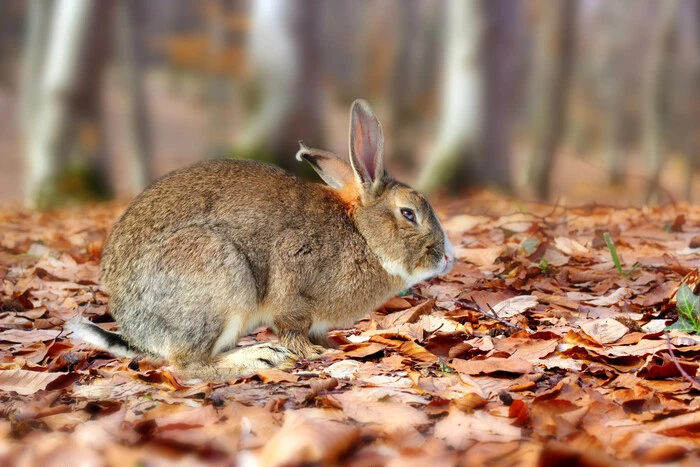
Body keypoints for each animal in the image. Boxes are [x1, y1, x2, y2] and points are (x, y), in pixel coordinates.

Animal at [71, 98, 454, 380]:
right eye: (408, 213)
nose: (447, 257)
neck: (362, 233)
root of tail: (138, 332)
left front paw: (333, 346)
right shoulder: (292, 281)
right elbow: (293, 329)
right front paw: (312, 353)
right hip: (218, 277)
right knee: (187, 364)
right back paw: (261, 357)